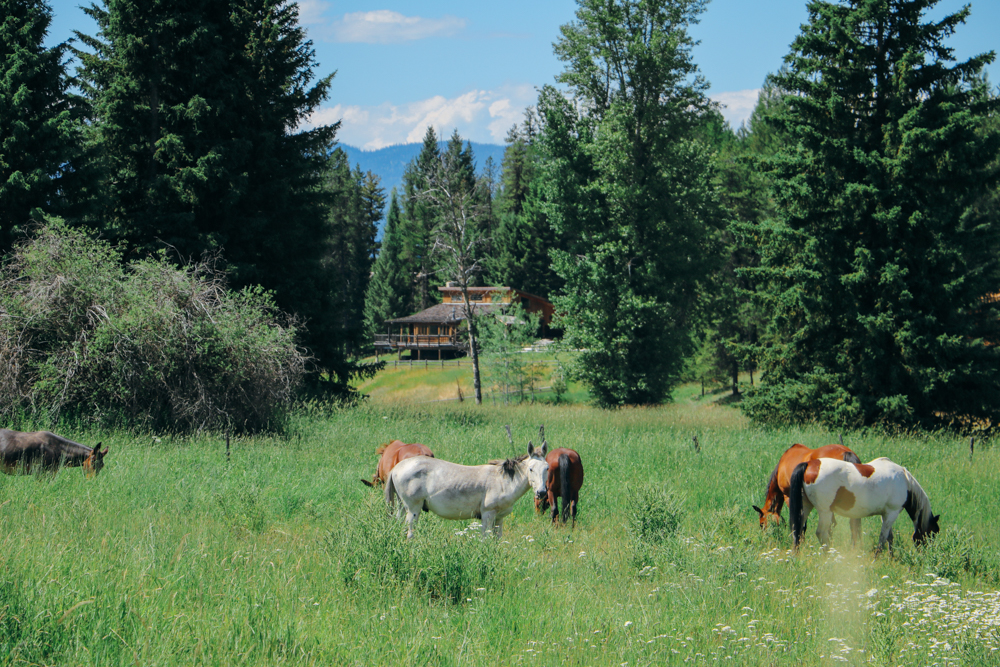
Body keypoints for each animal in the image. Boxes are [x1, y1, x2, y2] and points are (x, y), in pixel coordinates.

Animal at [386, 440, 552, 540]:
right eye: (531, 469)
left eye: (547, 468)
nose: (541, 493)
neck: (503, 481)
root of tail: (396, 468)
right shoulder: (488, 515)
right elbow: (485, 539)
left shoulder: (499, 518)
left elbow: (497, 540)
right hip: (413, 509)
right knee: (410, 533)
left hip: (402, 506)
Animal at [788, 456, 936, 556]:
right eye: (933, 533)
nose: (927, 554)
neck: (904, 481)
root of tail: (810, 464)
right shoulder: (892, 513)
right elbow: (883, 538)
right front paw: (877, 558)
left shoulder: (885, 514)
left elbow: (889, 537)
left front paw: (891, 558)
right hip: (825, 511)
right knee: (821, 533)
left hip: (806, 507)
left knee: (797, 529)